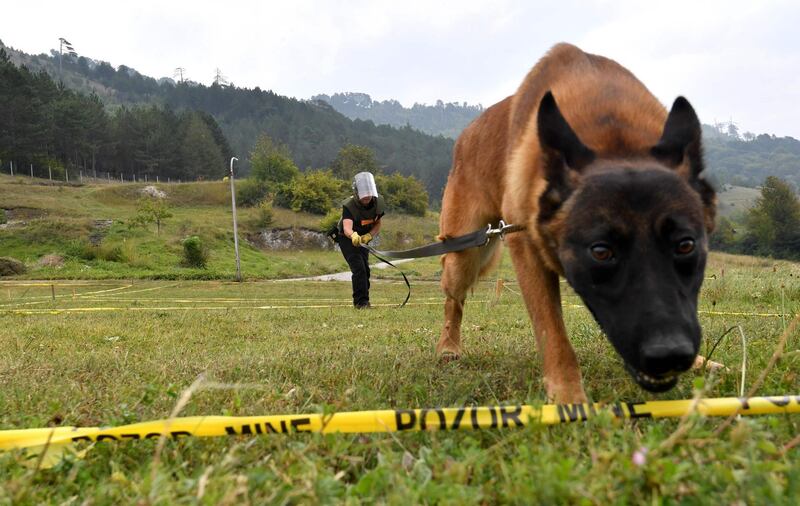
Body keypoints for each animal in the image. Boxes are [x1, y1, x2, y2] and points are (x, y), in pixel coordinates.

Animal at [438, 43, 720, 404]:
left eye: (685, 245)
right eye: (601, 251)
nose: (670, 355)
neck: (614, 138)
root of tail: (466, 135)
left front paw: (701, 362)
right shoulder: (526, 248)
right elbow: (552, 332)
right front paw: (568, 397)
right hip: (465, 255)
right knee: (453, 300)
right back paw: (448, 347)